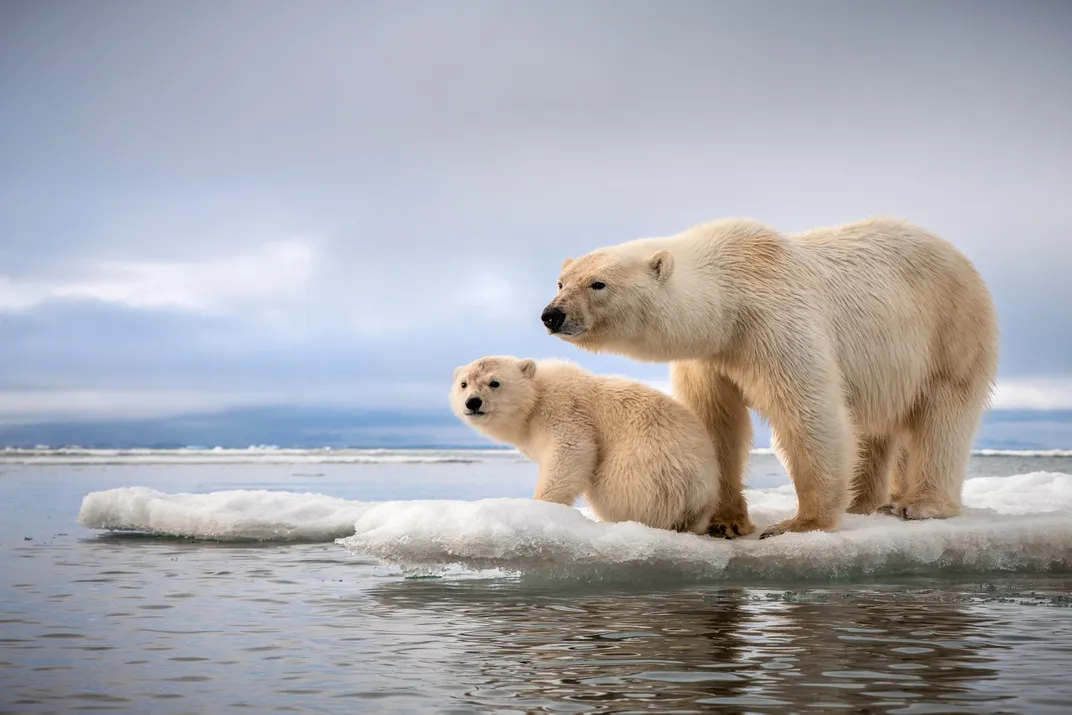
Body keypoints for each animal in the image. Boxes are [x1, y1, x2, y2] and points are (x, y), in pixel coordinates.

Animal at [443, 358, 728, 535]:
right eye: (464, 383)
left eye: (495, 382)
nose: (472, 402)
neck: (535, 400)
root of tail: (696, 500)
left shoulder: (563, 409)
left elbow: (571, 451)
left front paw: (538, 508)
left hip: (647, 470)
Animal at [540, 215, 999, 540]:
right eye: (561, 281)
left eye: (598, 284)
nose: (551, 314)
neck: (730, 296)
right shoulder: (711, 355)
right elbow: (716, 424)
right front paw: (723, 523)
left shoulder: (774, 323)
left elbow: (808, 410)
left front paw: (800, 523)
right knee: (875, 428)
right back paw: (866, 503)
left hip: (951, 330)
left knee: (943, 413)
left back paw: (918, 505)